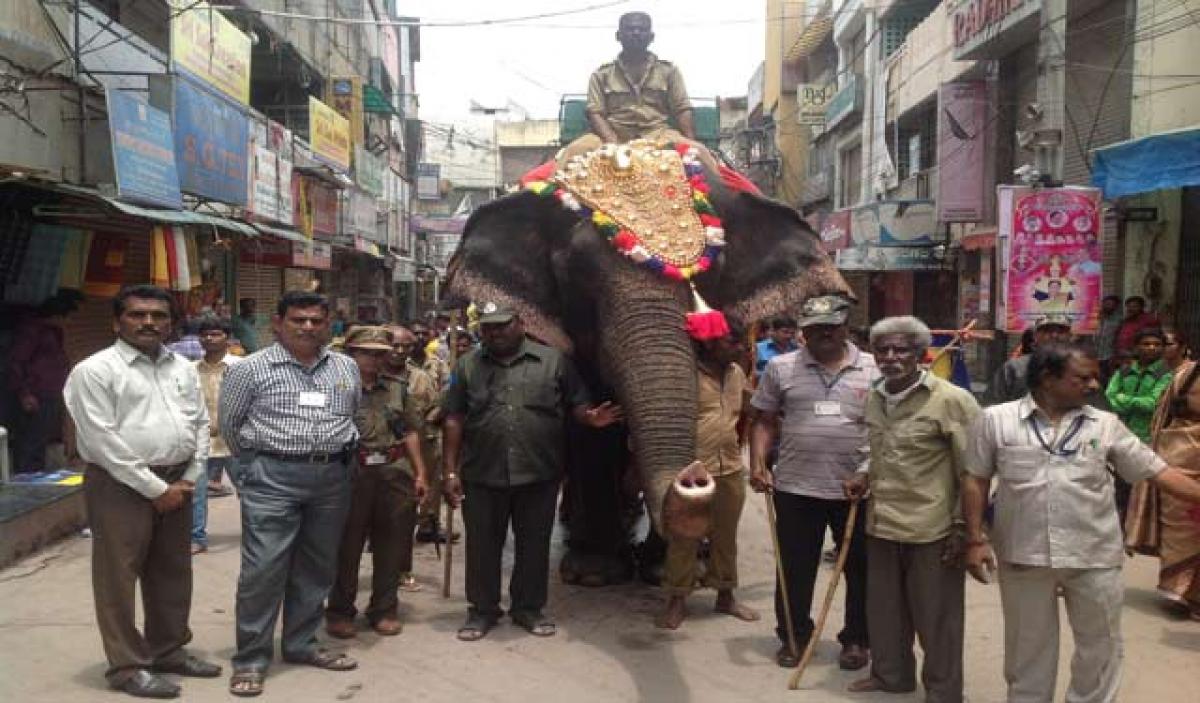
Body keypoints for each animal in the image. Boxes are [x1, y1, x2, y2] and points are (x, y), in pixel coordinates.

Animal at [446, 150, 849, 583]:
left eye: (713, 271)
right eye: (576, 272)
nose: (691, 479)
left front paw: (663, 569)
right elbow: (589, 428)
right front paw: (596, 572)